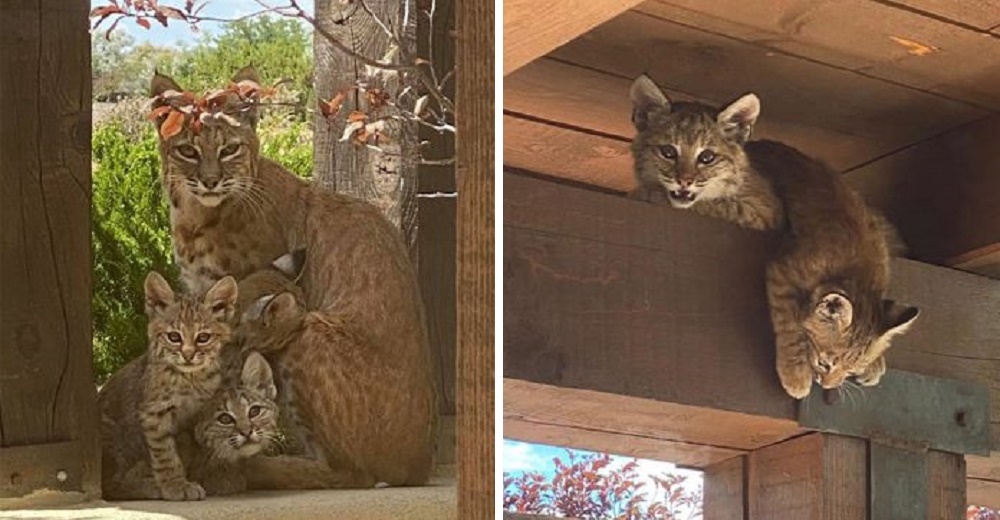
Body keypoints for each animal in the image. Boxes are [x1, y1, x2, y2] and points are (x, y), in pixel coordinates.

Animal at [100, 272, 238, 500]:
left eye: (203, 338)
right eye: (174, 337)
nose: (188, 355)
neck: (190, 378)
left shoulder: (198, 416)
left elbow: (191, 451)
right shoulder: (154, 412)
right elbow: (165, 453)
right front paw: (175, 486)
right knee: (109, 485)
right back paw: (148, 487)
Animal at [628, 74, 784, 229]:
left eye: (707, 157)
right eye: (668, 152)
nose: (684, 182)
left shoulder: (764, 215)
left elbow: (720, 205)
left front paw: (646, 194)